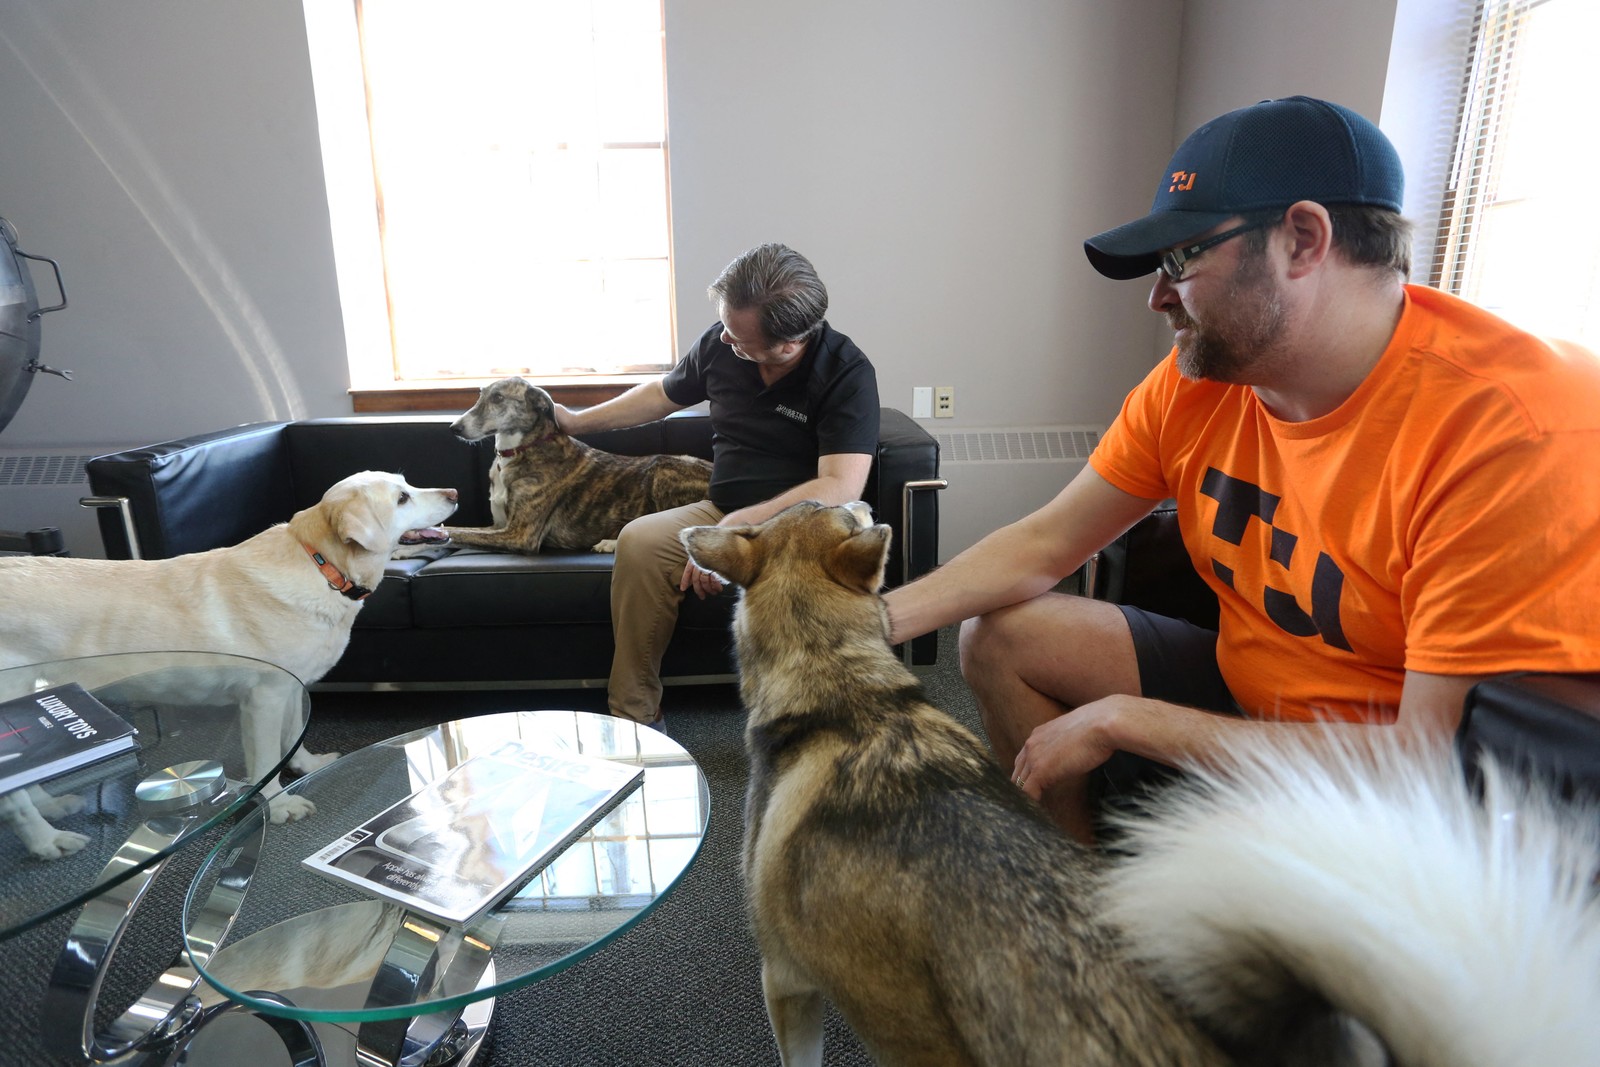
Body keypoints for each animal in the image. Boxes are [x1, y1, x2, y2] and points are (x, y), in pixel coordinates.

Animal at [0, 470, 457, 857]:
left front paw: (307, 767)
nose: (454, 492)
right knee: (14, 798)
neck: (321, 565)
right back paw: (47, 840)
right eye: (402, 498)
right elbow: (267, 759)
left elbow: (293, 736)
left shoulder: (289, 688)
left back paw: (52, 806)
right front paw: (278, 805)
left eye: (407, 483)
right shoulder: (265, 697)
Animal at [435, 375, 716, 556]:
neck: (521, 450)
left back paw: (611, 543)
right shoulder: (498, 526)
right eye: (481, 394)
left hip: (663, 469)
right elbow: (457, 531)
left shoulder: (519, 534)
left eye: (499, 397)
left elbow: (456, 532)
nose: (453, 428)